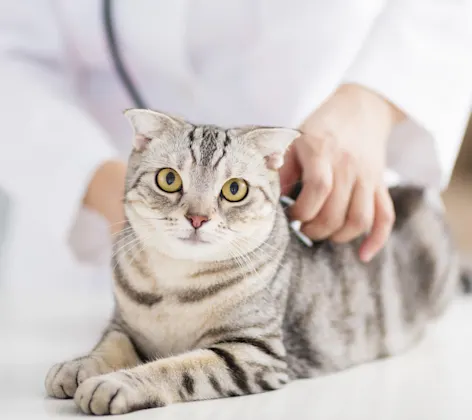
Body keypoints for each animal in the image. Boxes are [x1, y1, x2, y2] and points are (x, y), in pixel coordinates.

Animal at [44, 110, 464, 416]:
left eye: (234, 190)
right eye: (168, 179)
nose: (197, 217)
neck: (175, 286)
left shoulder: (252, 353)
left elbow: (175, 368)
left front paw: (117, 383)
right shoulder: (125, 326)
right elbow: (108, 346)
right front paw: (77, 366)